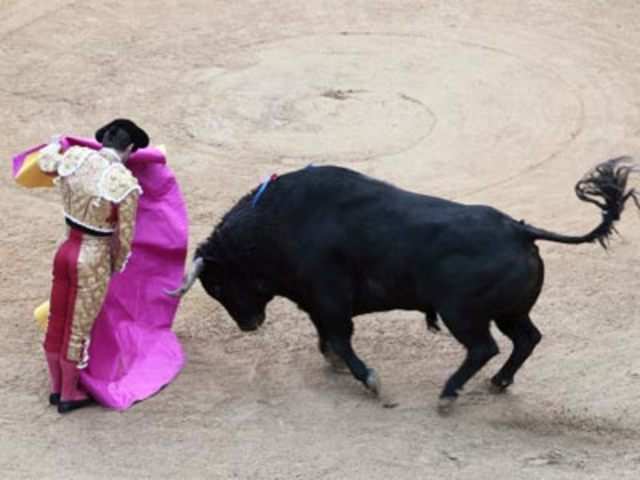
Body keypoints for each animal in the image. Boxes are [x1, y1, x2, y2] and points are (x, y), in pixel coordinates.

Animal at [168, 158, 636, 412]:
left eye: (218, 285)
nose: (249, 324)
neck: (278, 225)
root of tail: (520, 230)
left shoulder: (330, 300)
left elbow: (340, 340)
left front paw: (370, 380)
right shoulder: (319, 304)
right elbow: (328, 339)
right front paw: (337, 365)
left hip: (462, 313)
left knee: (484, 347)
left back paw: (448, 394)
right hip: (509, 311)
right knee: (526, 339)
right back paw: (498, 383)